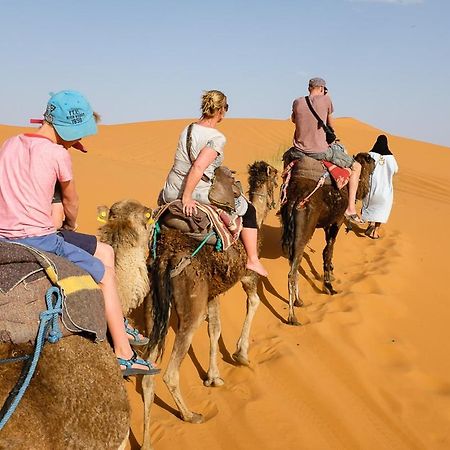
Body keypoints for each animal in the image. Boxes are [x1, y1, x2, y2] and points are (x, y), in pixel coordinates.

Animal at [98, 160, 278, 448]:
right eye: (278, 179)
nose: (276, 201)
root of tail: (166, 259)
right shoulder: (247, 276)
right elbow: (254, 302)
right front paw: (241, 355)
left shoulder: (212, 294)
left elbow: (215, 329)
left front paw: (213, 377)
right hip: (190, 308)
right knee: (170, 372)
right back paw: (191, 415)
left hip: (154, 306)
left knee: (149, 375)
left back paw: (147, 441)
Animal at [280, 153, 374, 326]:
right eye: (371, 160)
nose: (377, 162)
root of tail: (295, 200)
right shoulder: (337, 221)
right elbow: (328, 250)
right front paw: (329, 286)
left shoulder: (326, 225)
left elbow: (326, 250)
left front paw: (330, 274)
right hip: (305, 228)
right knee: (292, 270)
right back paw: (292, 317)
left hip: (291, 229)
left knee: (295, 262)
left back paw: (299, 301)